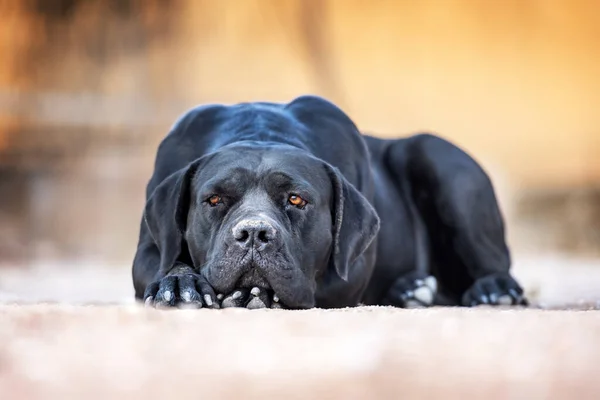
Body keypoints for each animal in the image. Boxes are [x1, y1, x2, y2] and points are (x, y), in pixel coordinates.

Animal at [134, 94, 528, 310]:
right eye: (214, 199)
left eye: (296, 199)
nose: (254, 233)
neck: (260, 130)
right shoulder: (149, 248)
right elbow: (162, 264)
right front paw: (179, 283)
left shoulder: (348, 271)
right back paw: (412, 289)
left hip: (438, 156)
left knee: (493, 265)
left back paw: (493, 289)